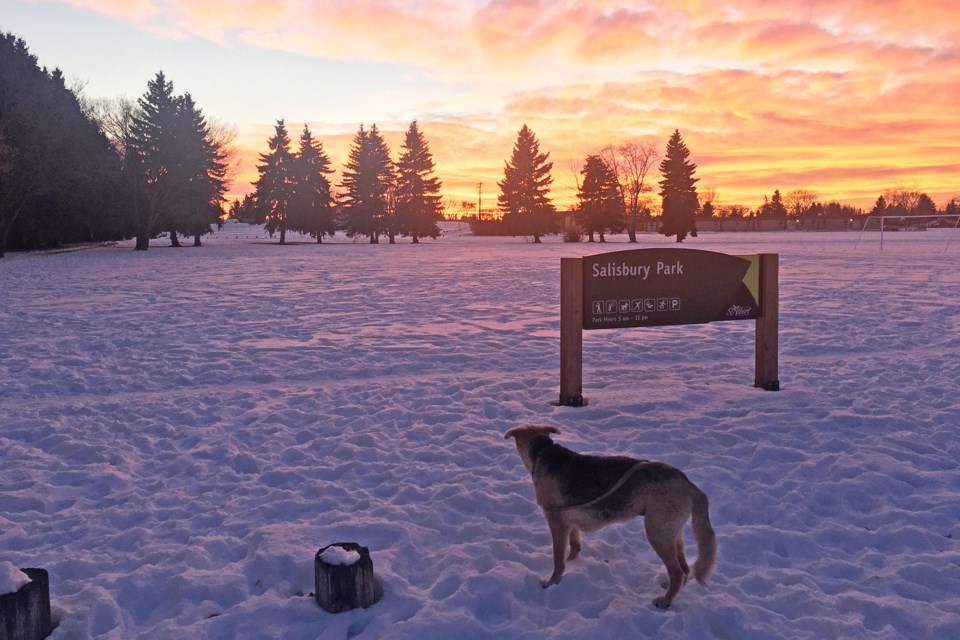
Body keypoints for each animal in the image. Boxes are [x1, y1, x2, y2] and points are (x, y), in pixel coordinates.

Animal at [506, 428, 716, 608]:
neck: (542, 453)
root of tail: (688, 484)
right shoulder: (570, 522)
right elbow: (574, 545)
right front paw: (572, 559)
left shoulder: (557, 523)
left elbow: (558, 560)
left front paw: (552, 581)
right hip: (672, 534)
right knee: (684, 569)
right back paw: (671, 589)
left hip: (657, 534)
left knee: (678, 572)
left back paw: (665, 601)